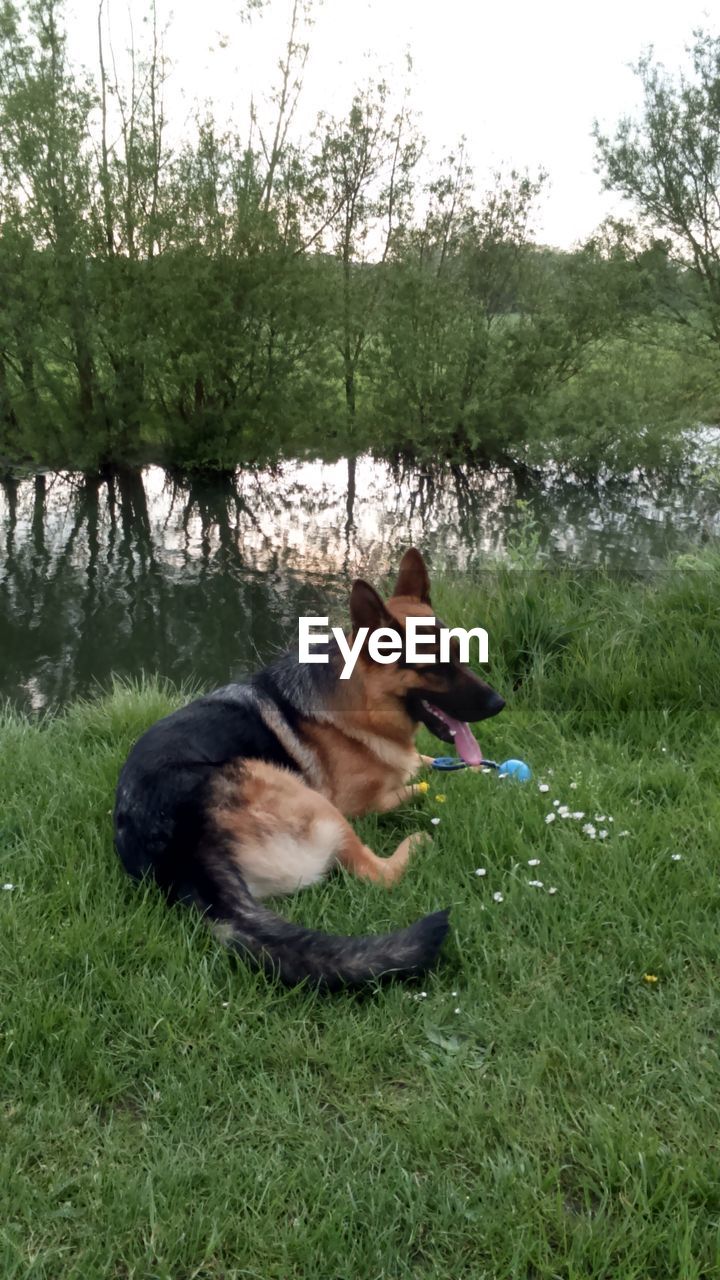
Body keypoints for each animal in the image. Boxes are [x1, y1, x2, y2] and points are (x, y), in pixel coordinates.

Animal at [113, 550, 504, 988]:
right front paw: (441, 788)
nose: (499, 703)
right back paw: (418, 841)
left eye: (459, 652)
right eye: (433, 668)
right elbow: (414, 784)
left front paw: (485, 770)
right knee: (378, 873)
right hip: (310, 800)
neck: (358, 700)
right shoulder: (359, 805)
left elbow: (434, 763)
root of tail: (187, 855)